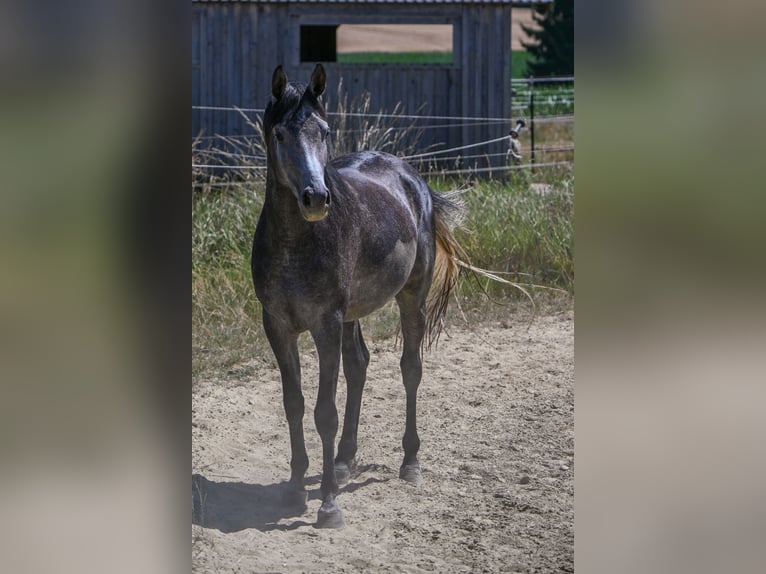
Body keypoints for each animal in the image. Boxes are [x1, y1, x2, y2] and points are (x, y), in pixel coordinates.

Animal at [251, 63, 464, 528]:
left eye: (326, 131)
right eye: (280, 134)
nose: (316, 198)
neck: (296, 244)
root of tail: (412, 178)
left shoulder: (325, 324)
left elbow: (324, 413)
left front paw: (329, 504)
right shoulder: (278, 327)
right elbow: (294, 404)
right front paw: (295, 489)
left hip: (410, 299)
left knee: (410, 369)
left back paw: (409, 462)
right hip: (352, 315)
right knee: (359, 366)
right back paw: (346, 460)